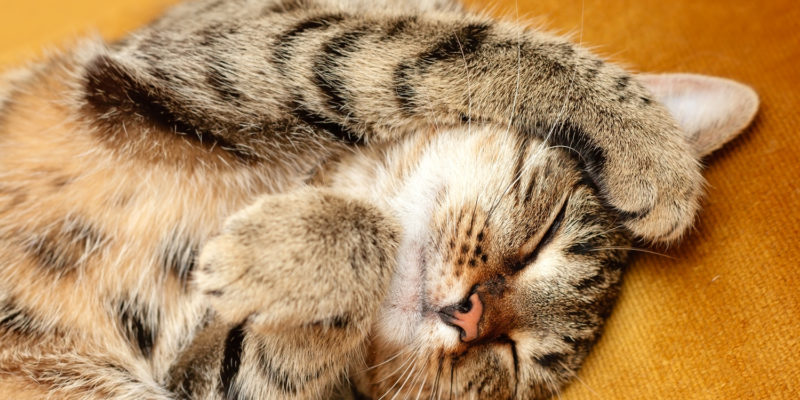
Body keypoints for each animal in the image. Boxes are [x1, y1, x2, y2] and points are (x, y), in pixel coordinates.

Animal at [0, 0, 756, 398]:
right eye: (543, 235)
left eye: (508, 364)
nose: (472, 317)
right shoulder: (233, 39)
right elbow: (419, 46)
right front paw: (650, 144)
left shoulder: (207, 384)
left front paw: (274, 256)